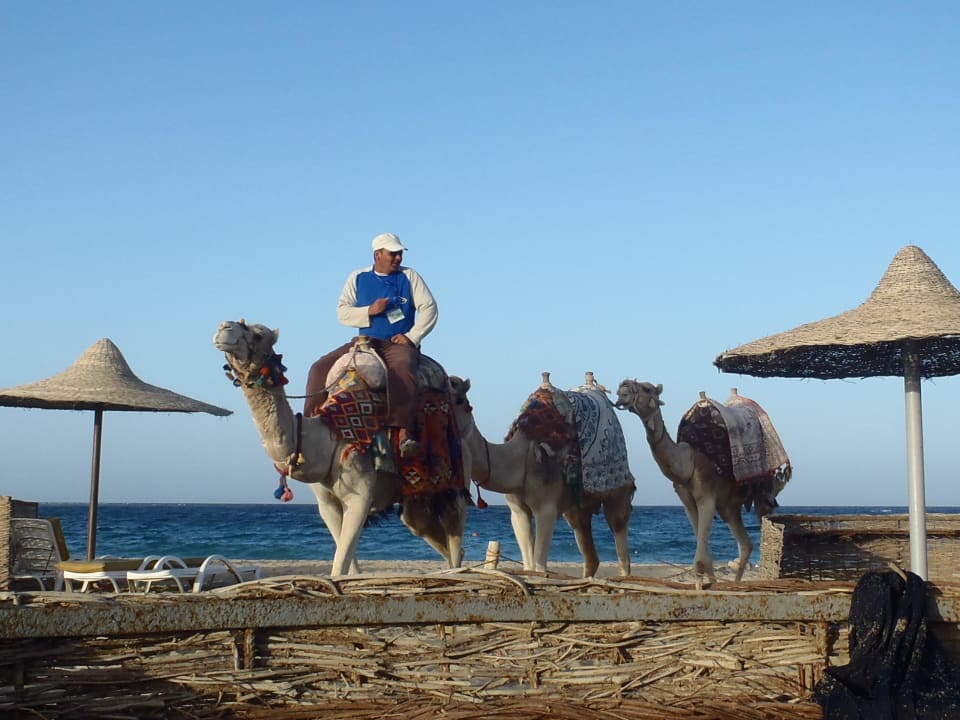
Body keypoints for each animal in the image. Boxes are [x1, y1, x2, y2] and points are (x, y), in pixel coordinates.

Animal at [214, 320, 468, 576]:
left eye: (257, 334)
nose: (224, 328)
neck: (329, 437)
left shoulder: (360, 496)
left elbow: (340, 564)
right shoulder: (327, 504)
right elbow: (348, 566)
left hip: (453, 473)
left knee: (455, 534)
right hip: (415, 498)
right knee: (426, 529)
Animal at [450, 375, 635, 578]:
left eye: (458, 399)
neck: (519, 458)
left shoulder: (546, 508)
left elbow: (539, 566)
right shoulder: (517, 511)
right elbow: (529, 566)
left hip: (617, 493)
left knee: (621, 542)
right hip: (578, 508)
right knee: (589, 549)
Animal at [615, 380, 788, 586]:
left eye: (647, 388)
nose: (622, 390)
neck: (688, 463)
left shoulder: (707, 497)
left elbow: (699, 561)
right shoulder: (687, 502)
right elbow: (706, 557)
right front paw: (710, 584)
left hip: (761, 497)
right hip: (729, 507)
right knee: (745, 544)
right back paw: (735, 583)